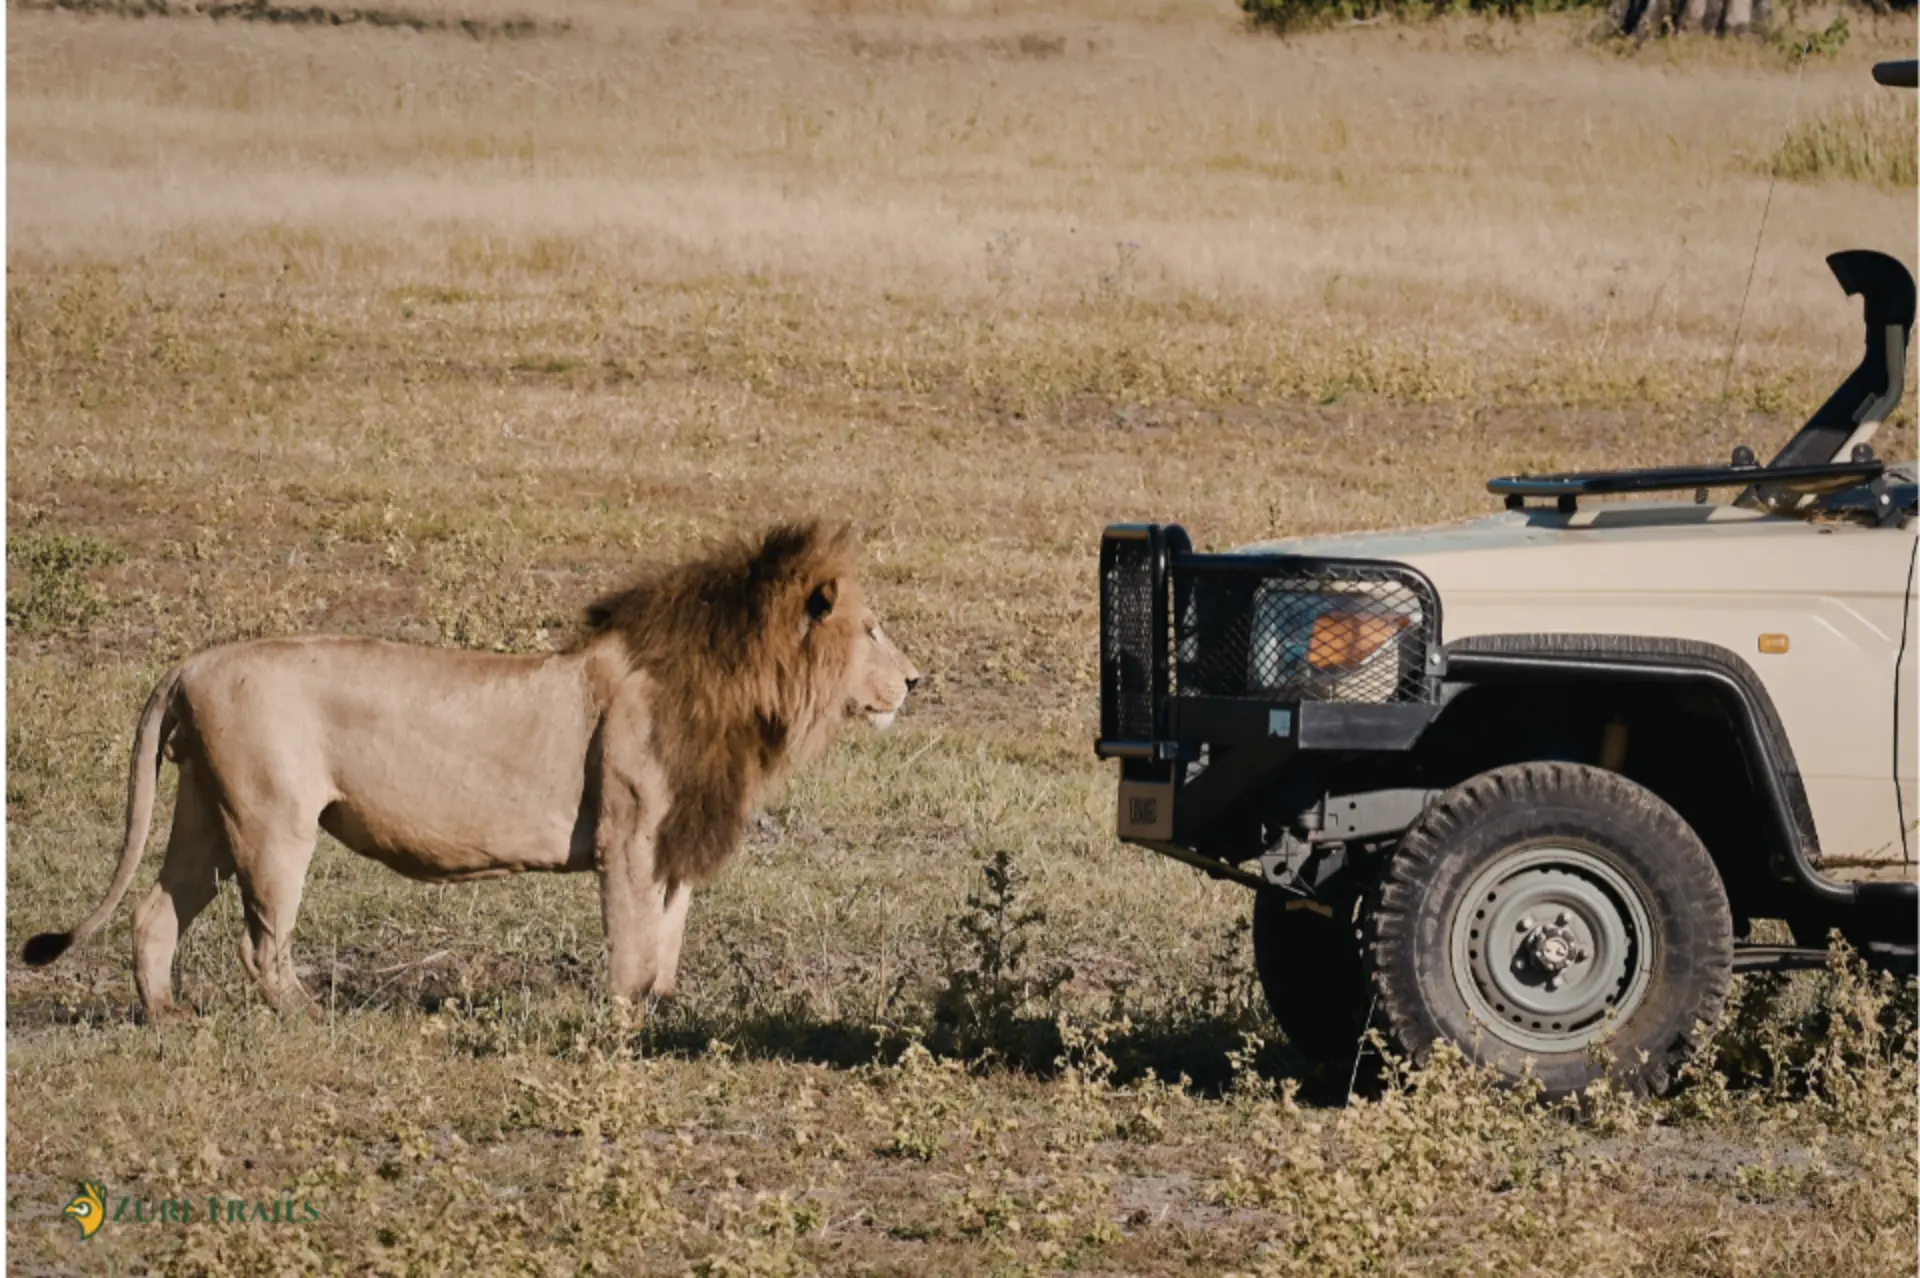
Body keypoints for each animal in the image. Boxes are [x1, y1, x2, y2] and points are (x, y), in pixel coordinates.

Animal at [22, 520, 919, 1021]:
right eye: (873, 629)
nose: (916, 679)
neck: (742, 693)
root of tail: (192, 662)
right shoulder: (630, 837)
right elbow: (634, 940)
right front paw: (622, 1025)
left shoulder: (676, 838)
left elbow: (669, 933)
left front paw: (665, 1015)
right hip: (272, 823)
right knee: (260, 942)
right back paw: (309, 1016)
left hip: (208, 813)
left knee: (154, 912)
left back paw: (167, 1014)